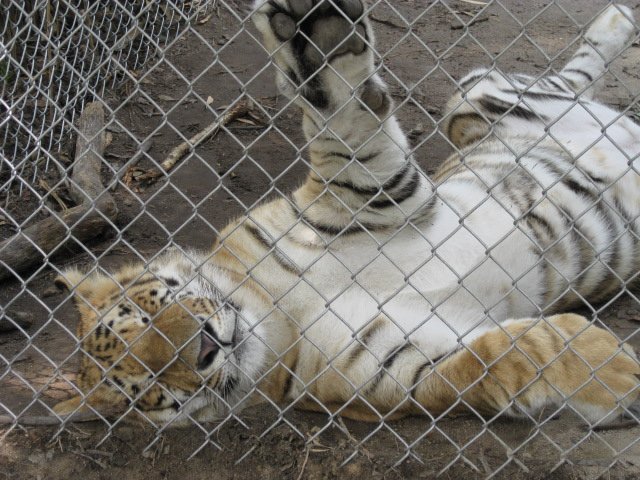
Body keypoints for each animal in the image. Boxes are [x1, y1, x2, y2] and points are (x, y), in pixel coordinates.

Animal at [52, 1, 640, 428]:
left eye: (150, 310)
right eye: (150, 389)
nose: (202, 349)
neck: (279, 312)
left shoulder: (362, 195)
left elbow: (342, 123)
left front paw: (309, 37)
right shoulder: (402, 367)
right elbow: (498, 358)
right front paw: (615, 373)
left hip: (476, 96)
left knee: (567, 75)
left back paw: (618, 18)